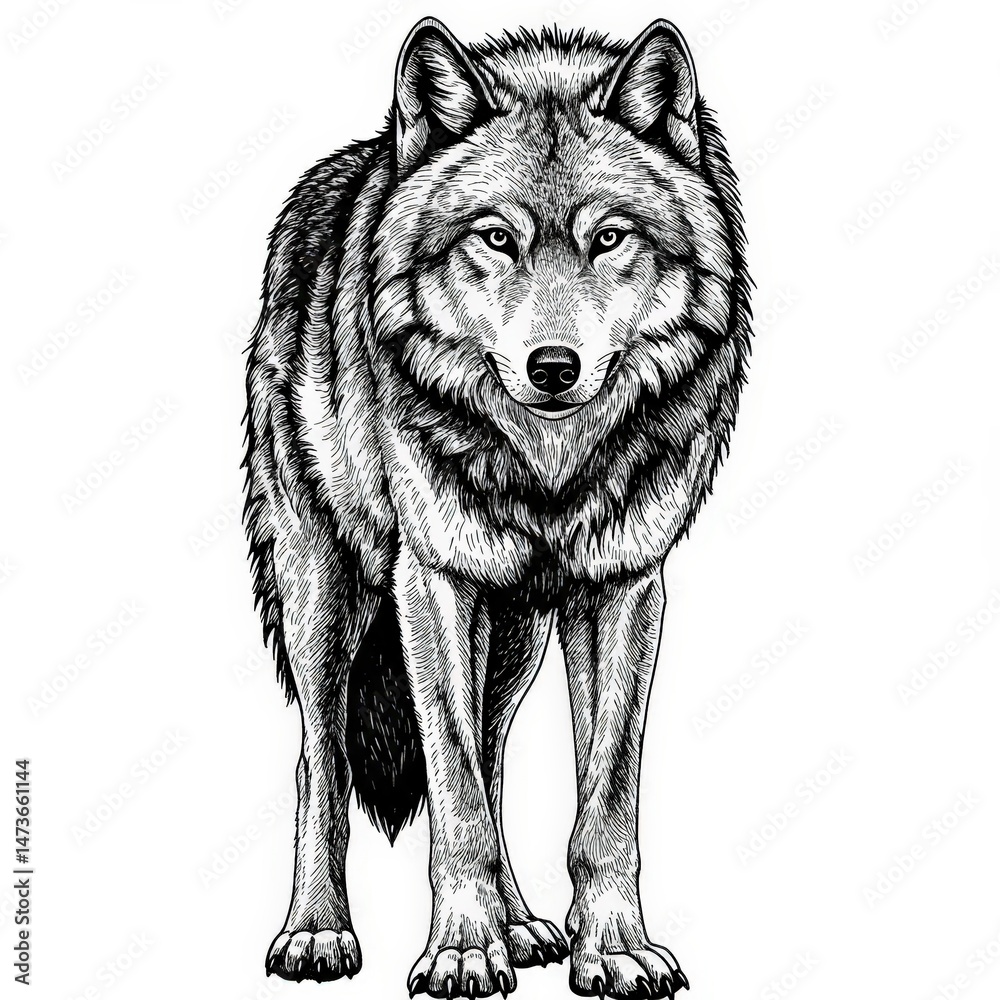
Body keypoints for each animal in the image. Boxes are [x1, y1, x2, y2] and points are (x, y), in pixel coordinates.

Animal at [243, 17, 750, 1000]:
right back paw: (317, 931)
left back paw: (520, 926)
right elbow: (453, 793)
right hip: (325, 596)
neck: (546, 472)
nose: (553, 366)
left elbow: (603, 799)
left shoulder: (625, 589)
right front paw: (460, 952)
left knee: (492, 752)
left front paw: (612, 950)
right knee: (322, 760)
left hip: (514, 636)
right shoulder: (432, 583)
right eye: (495, 238)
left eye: (610, 237)